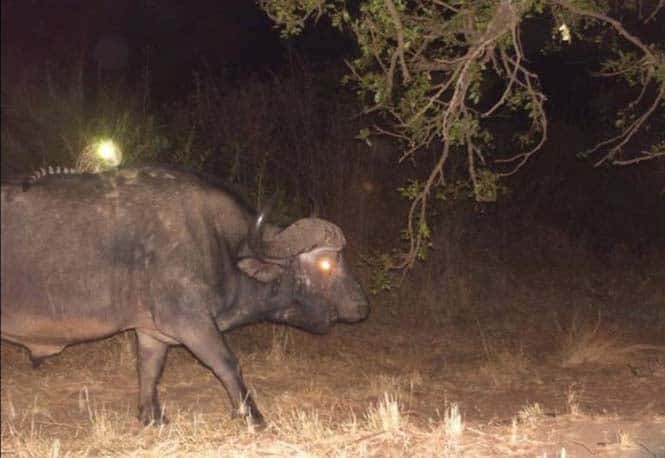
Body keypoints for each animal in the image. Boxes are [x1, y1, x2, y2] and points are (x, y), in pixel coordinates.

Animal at [1, 166, 368, 428]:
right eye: (327, 263)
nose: (362, 305)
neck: (218, 242)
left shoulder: (152, 332)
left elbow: (149, 369)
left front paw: (152, 417)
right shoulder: (192, 323)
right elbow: (228, 363)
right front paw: (253, 416)